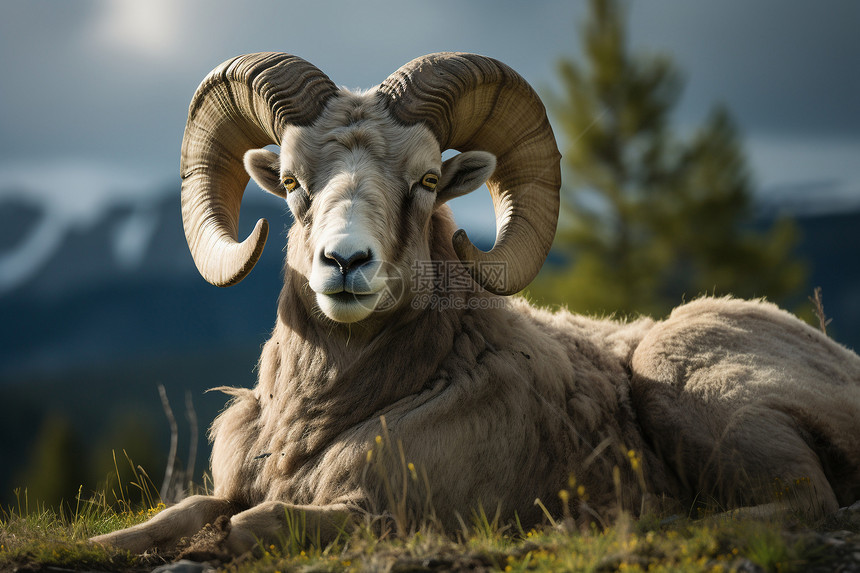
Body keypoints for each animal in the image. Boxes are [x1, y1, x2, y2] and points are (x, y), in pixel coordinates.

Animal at [92, 52, 860, 556]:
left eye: (427, 180)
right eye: (289, 182)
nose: (345, 263)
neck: (316, 422)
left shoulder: (379, 512)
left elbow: (251, 524)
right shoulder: (231, 486)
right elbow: (181, 513)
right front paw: (107, 543)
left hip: (690, 383)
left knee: (801, 502)